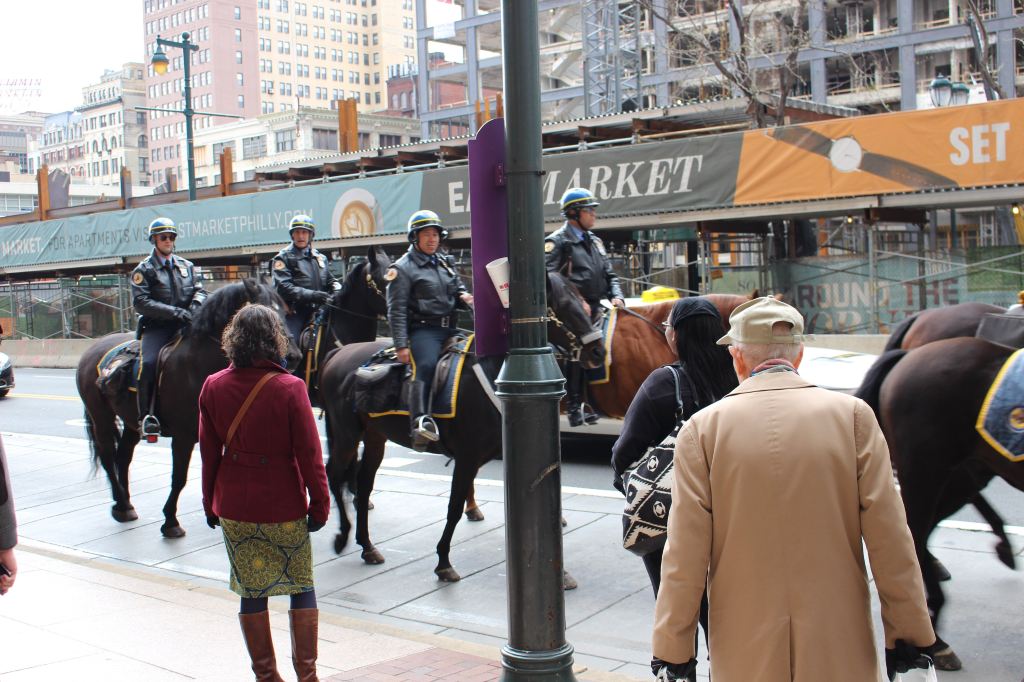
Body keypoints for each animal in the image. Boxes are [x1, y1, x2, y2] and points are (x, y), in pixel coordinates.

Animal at [72, 278, 294, 532]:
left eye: (285, 312)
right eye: (265, 313)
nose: (293, 356)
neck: (197, 363)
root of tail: (91, 350)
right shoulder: (184, 436)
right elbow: (179, 478)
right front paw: (170, 520)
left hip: (130, 421)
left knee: (123, 457)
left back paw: (125, 504)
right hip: (101, 416)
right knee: (108, 455)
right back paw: (121, 504)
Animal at [319, 270, 602, 577]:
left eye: (584, 302)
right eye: (562, 306)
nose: (598, 351)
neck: (497, 374)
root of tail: (338, 355)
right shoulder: (467, 457)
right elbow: (454, 507)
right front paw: (443, 561)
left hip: (373, 436)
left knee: (363, 484)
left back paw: (367, 546)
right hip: (347, 434)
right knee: (334, 474)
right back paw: (342, 535)